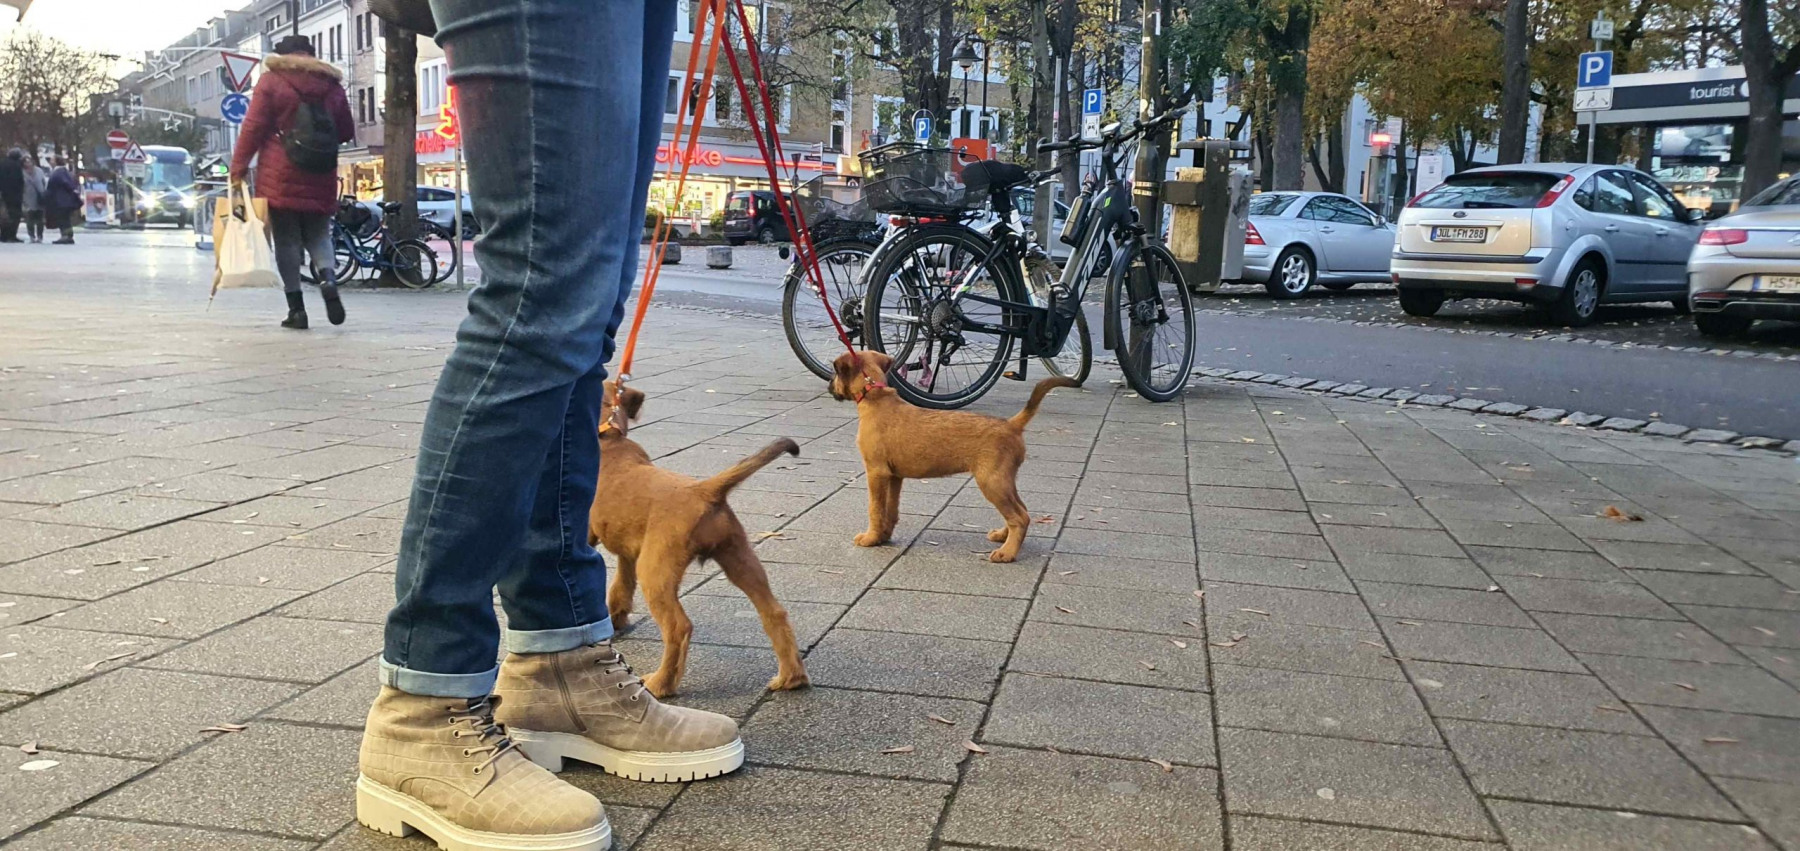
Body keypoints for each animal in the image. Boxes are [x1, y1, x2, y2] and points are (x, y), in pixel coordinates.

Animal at [590, 379, 809, 698]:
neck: (609, 438)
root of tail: (705, 490)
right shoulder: (628, 551)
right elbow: (621, 587)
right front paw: (615, 619)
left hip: (656, 571)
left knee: (678, 628)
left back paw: (661, 683)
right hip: (739, 558)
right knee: (774, 612)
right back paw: (791, 677)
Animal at [829, 350, 1077, 563]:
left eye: (835, 372)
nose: (830, 387)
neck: (875, 396)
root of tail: (1012, 424)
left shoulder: (876, 472)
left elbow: (875, 508)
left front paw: (870, 538)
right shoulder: (894, 476)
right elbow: (890, 510)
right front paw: (883, 536)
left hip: (991, 481)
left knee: (1020, 517)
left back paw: (1007, 553)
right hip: (1004, 479)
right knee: (1021, 510)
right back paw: (1002, 536)